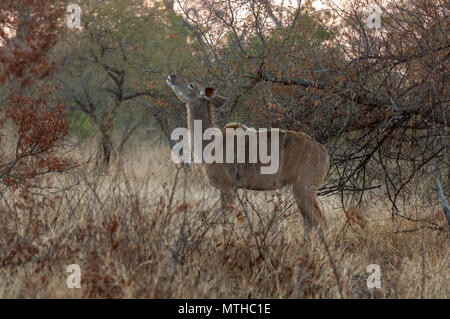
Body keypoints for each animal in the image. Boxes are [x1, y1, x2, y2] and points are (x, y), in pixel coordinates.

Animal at [165, 73, 330, 238]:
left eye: (191, 85)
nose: (171, 76)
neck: (210, 142)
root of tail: (323, 152)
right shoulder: (233, 189)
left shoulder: (226, 187)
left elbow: (223, 221)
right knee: (310, 221)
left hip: (304, 188)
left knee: (320, 221)